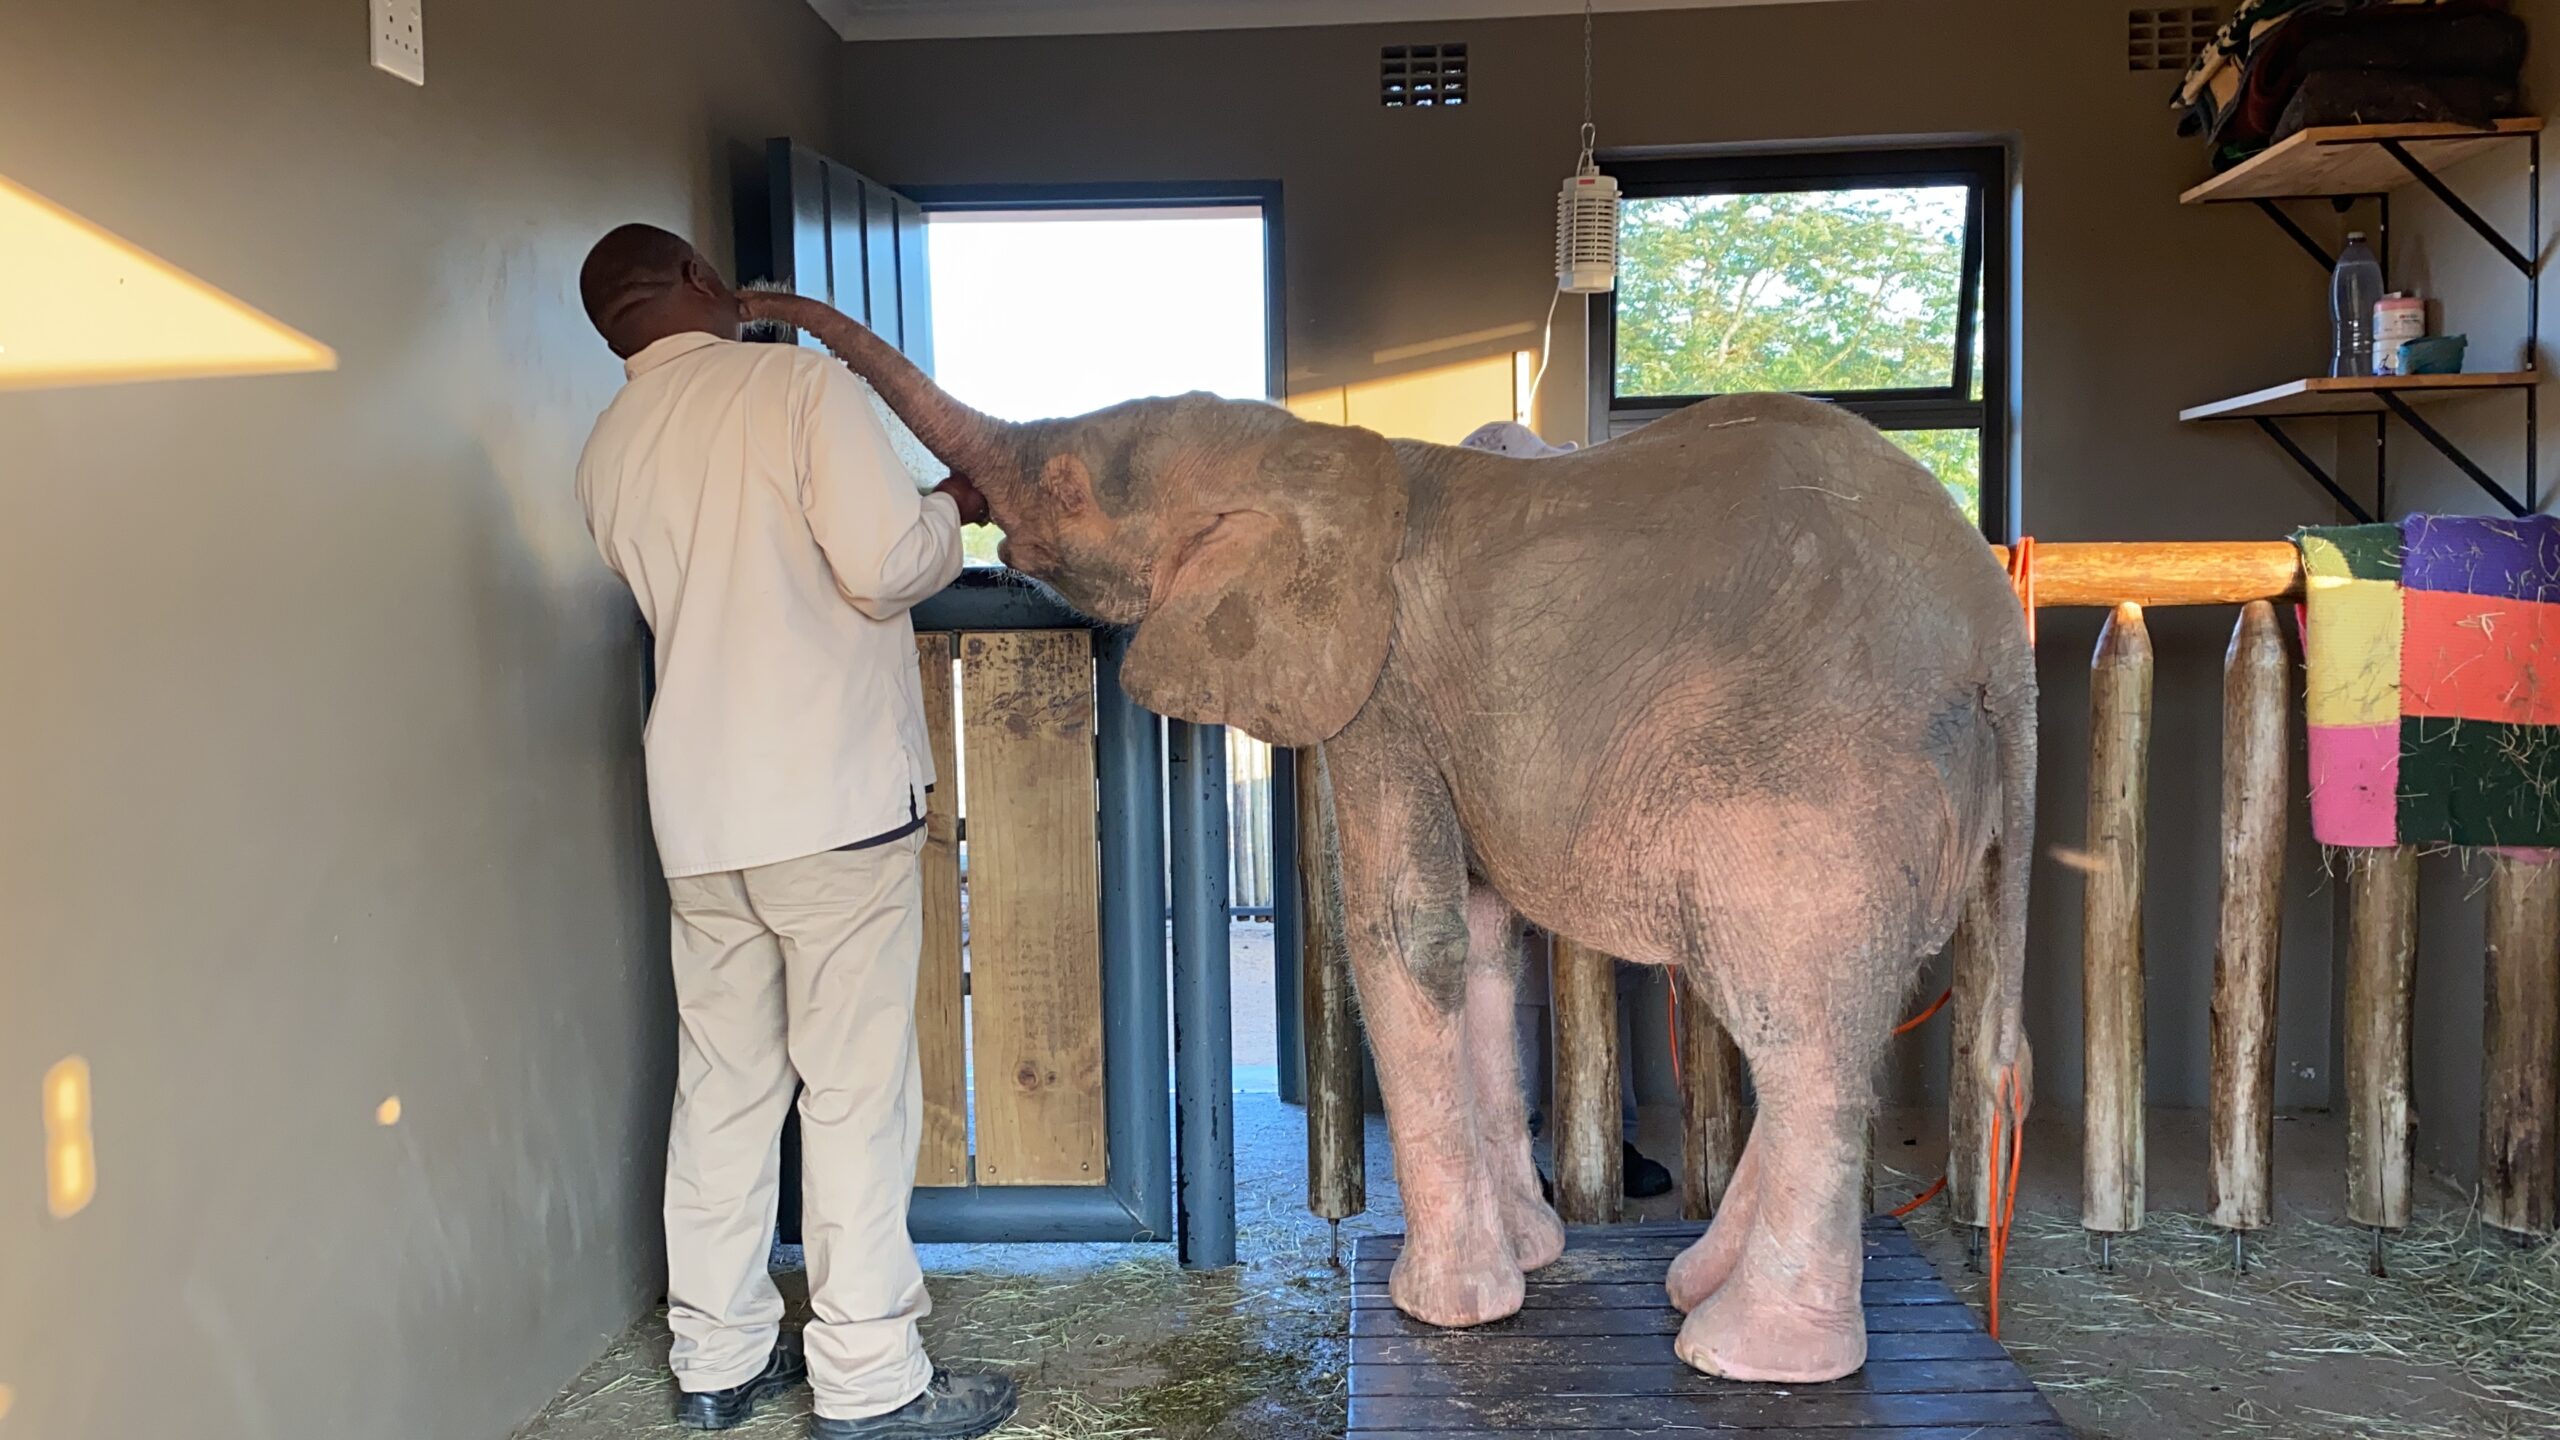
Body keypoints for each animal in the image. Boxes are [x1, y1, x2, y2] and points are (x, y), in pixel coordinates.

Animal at [745, 291, 2035, 1385]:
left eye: (1065, 481)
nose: (754, 306)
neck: (1310, 454)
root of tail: (1999, 641)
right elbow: (1481, 943)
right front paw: (1529, 1260)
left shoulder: (1381, 689)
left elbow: (1402, 934)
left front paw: (1445, 1309)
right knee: (1831, 1014)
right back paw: (1693, 1287)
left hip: (1817, 786)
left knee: (1795, 1029)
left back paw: (1749, 1355)